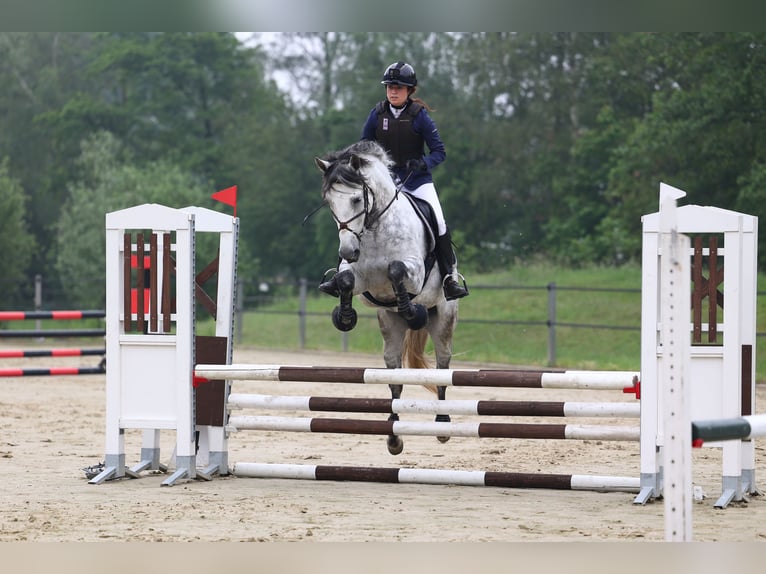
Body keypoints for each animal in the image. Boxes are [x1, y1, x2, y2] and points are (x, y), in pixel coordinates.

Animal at [314, 140, 458, 455]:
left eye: (357, 200)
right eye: (329, 202)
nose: (347, 251)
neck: (376, 228)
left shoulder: (414, 273)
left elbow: (396, 270)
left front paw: (412, 311)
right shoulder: (361, 280)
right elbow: (344, 281)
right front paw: (344, 317)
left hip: (444, 317)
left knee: (442, 366)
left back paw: (442, 425)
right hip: (389, 325)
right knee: (394, 377)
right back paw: (393, 435)